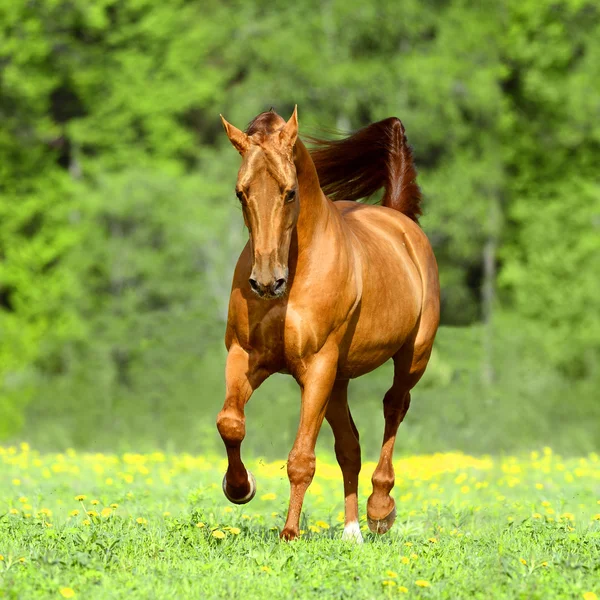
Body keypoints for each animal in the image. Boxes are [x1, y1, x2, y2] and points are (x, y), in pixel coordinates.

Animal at [217, 108, 440, 544]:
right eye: (240, 192)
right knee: (349, 447)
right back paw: (352, 530)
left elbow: (301, 457)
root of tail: (400, 221)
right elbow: (230, 423)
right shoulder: (245, 355)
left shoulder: (317, 365)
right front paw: (239, 487)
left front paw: (290, 533)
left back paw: (380, 510)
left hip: (412, 357)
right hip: (339, 380)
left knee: (394, 406)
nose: (266, 282)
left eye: (289, 192)